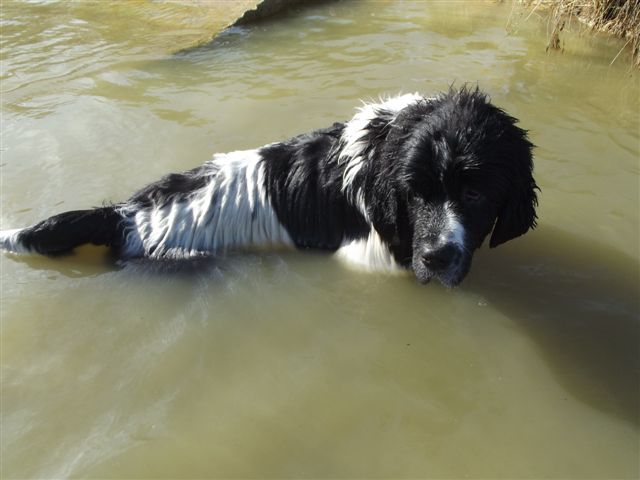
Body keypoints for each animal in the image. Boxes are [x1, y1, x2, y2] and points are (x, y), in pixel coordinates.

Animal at [0, 86, 536, 284]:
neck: (388, 144)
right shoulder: (367, 257)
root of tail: (128, 214)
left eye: (473, 193)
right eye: (416, 192)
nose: (436, 258)